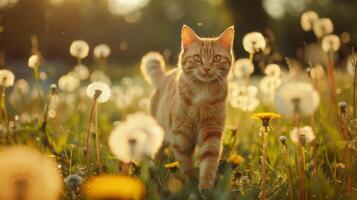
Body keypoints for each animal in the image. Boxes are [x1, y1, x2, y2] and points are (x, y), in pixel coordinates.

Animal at [140, 24, 235, 190]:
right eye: (197, 58)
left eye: (217, 58)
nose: (207, 68)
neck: (202, 92)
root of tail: (165, 77)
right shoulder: (181, 138)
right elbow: (186, 165)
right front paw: (190, 184)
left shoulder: (212, 134)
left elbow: (208, 164)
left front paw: (205, 188)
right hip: (161, 133)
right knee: (158, 151)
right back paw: (156, 168)